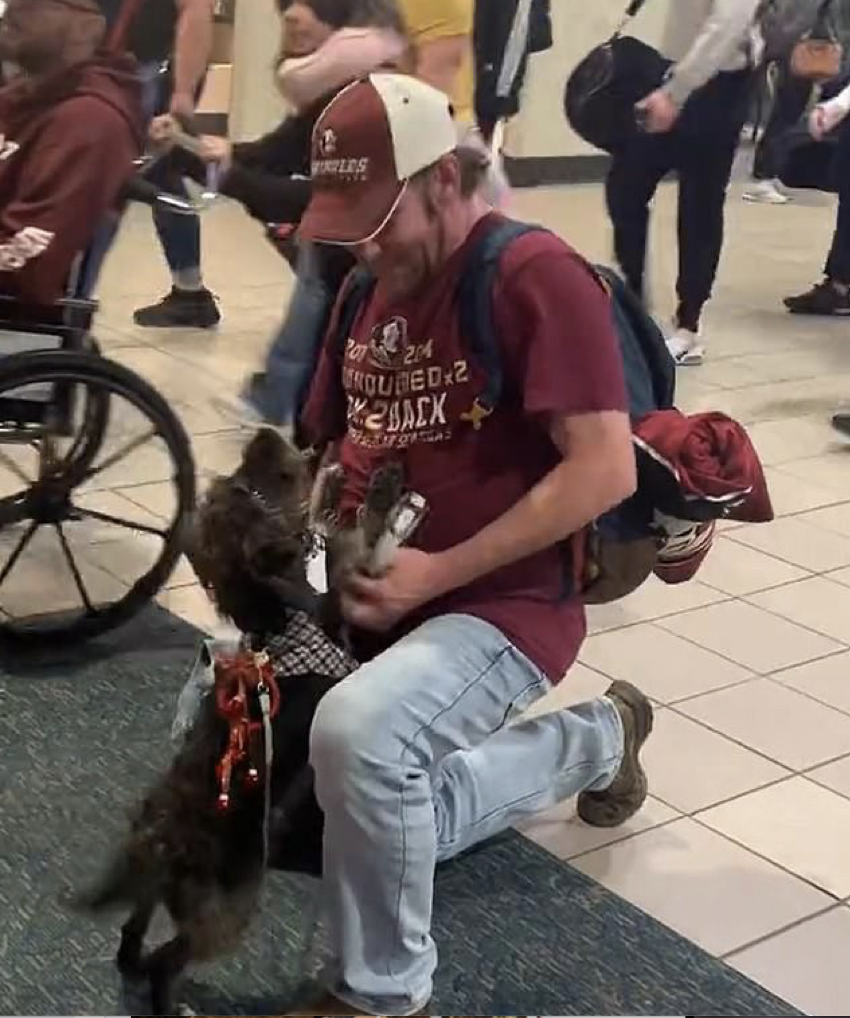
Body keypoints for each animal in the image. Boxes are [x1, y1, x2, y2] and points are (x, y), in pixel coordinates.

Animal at [72, 425, 405, 1013]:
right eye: (276, 481)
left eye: (233, 480)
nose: (267, 432)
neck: (278, 613)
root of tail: (162, 841)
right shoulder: (340, 594)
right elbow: (357, 550)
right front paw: (377, 493)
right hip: (231, 910)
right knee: (171, 957)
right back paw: (170, 998)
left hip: (157, 892)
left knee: (133, 933)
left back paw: (134, 965)